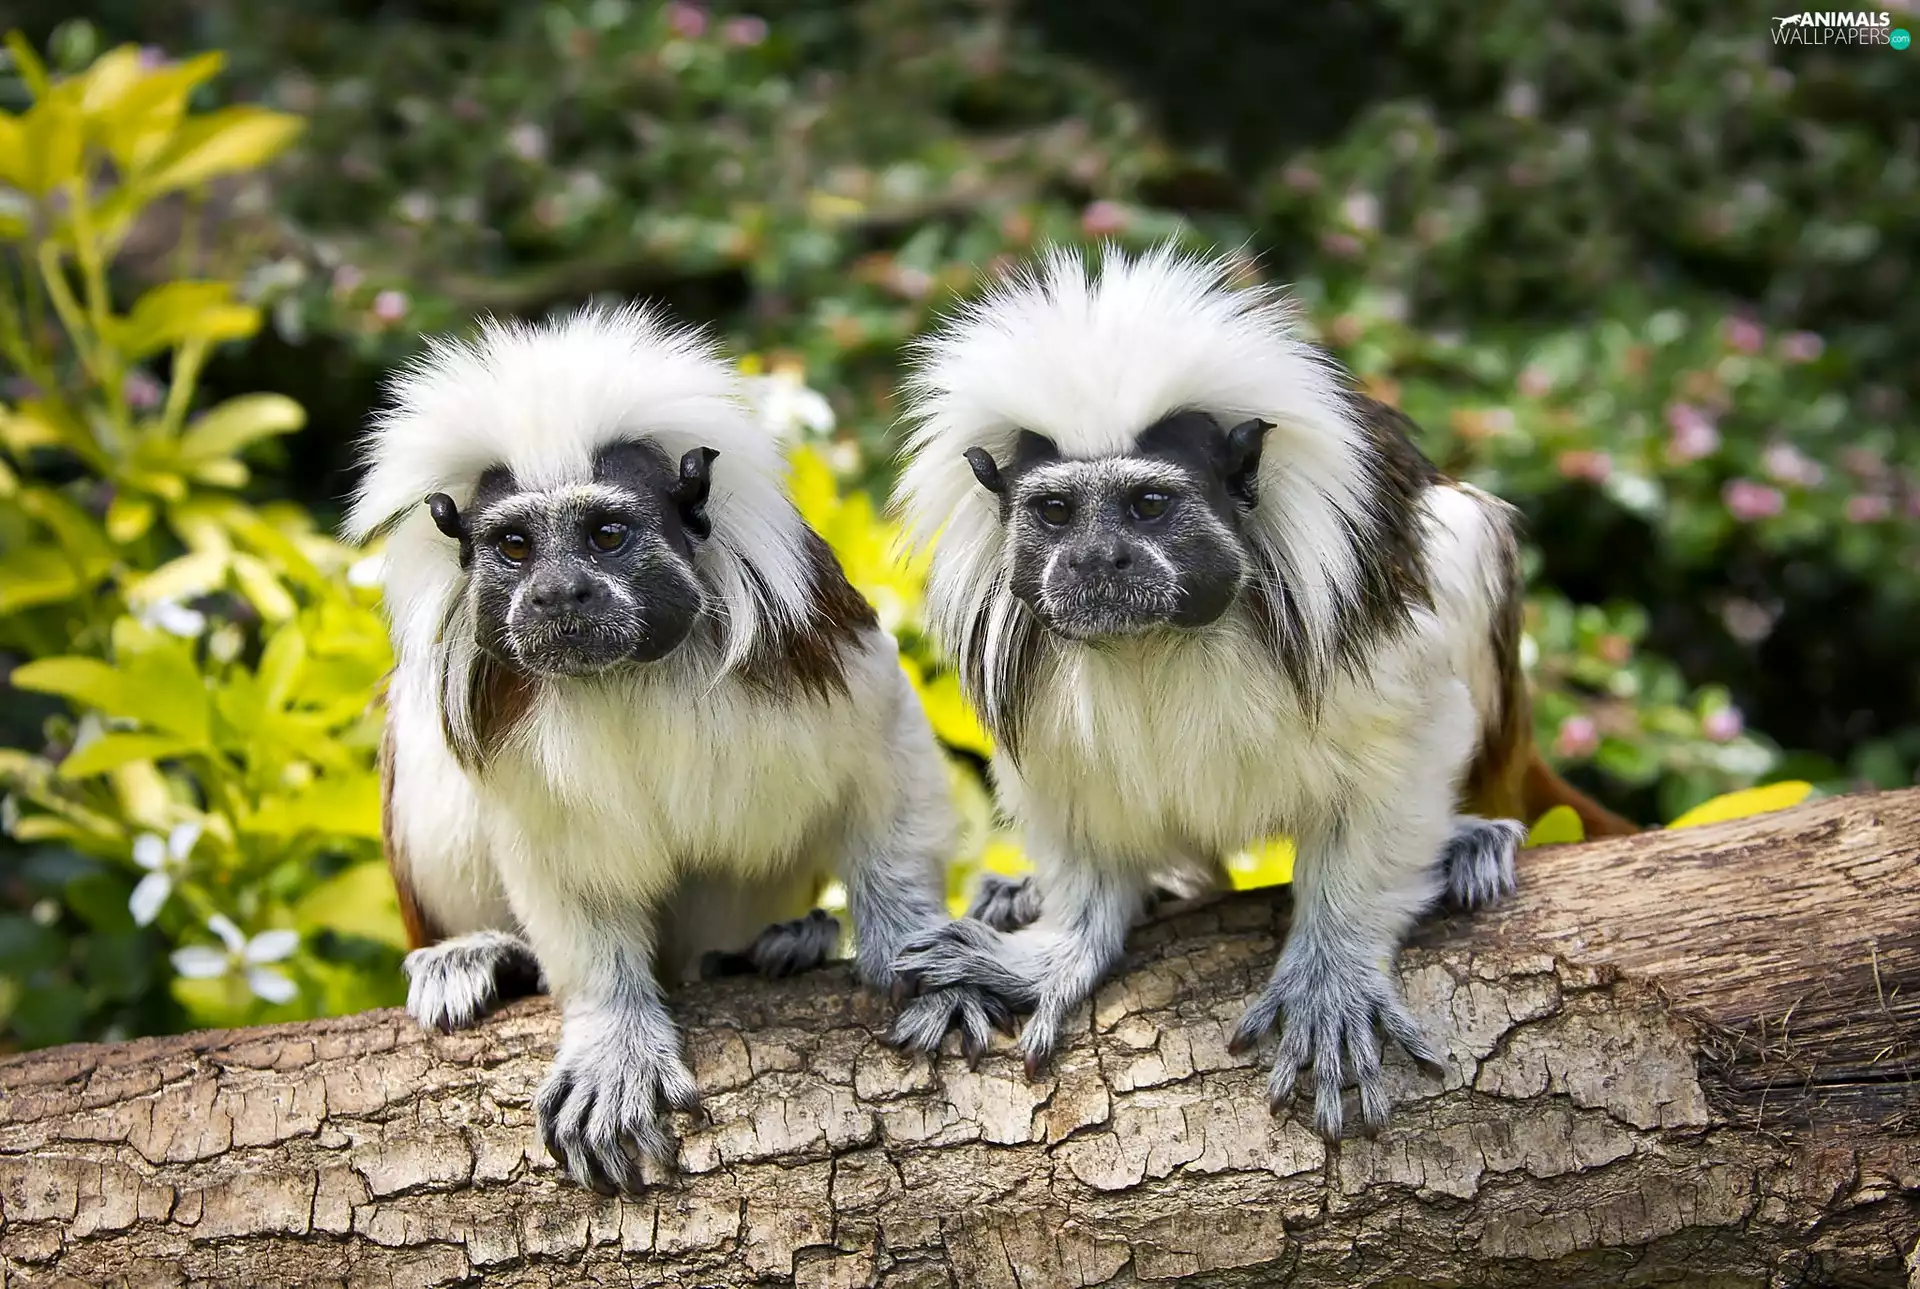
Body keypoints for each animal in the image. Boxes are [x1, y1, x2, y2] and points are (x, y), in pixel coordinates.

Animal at [344, 304, 1007, 1195]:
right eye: (515, 547)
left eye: (608, 534)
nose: (557, 594)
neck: (627, 674)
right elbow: (570, 888)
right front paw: (611, 1043)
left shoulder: (817, 648)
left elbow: (887, 762)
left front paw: (918, 957)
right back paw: (478, 952)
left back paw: (775, 944)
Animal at [882, 244, 1636, 1142]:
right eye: (1057, 512)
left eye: (1149, 504)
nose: (1099, 560)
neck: (1158, 643)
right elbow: (1083, 832)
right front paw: (1053, 947)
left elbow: (1409, 753)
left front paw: (1333, 975)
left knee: (1464, 535)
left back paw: (1469, 837)